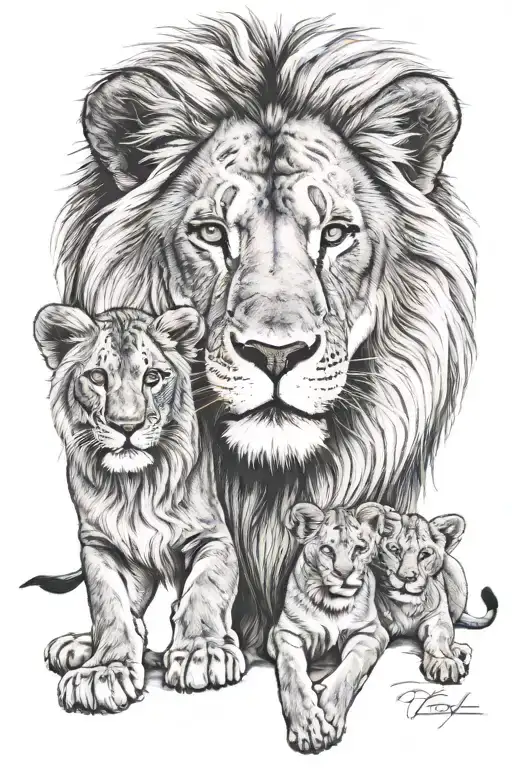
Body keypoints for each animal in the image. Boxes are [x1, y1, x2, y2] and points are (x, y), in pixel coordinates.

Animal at [29, 303, 245, 713]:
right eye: (98, 376)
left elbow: (204, 589)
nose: (126, 426)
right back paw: (78, 645)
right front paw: (104, 670)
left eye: (153, 377)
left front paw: (202, 653)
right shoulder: (102, 545)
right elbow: (110, 606)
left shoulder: (213, 537)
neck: (134, 488)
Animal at [267, 501, 389, 753]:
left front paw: (330, 711)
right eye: (326, 550)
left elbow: (351, 666)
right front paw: (309, 727)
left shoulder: (372, 632)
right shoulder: (283, 632)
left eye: (359, 548)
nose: (344, 574)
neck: (332, 602)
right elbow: (292, 674)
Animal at [374, 509, 497, 683]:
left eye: (425, 554)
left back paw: (459, 650)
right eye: (394, 549)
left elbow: (439, 637)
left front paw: (444, 664)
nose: (407, 577)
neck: (407, 604)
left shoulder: (438, 617)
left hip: (457, 574)